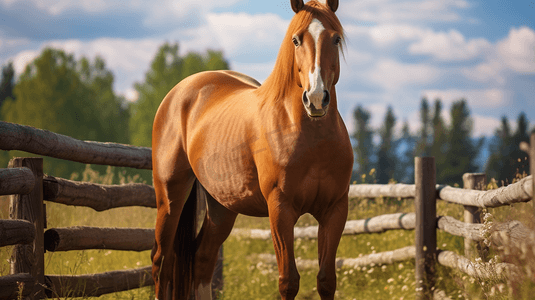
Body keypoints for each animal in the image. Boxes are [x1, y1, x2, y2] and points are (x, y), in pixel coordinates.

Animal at [151, 1, 354, 298]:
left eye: (336, 38)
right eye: (296, 40)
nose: (316, 99)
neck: (310, 138)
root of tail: (178, 93)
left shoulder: (335, 210)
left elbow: (326, 280)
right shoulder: (280, 209)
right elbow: (288, 281)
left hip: (222, 206)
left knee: (202, 260)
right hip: (170, 198)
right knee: (161, 264)